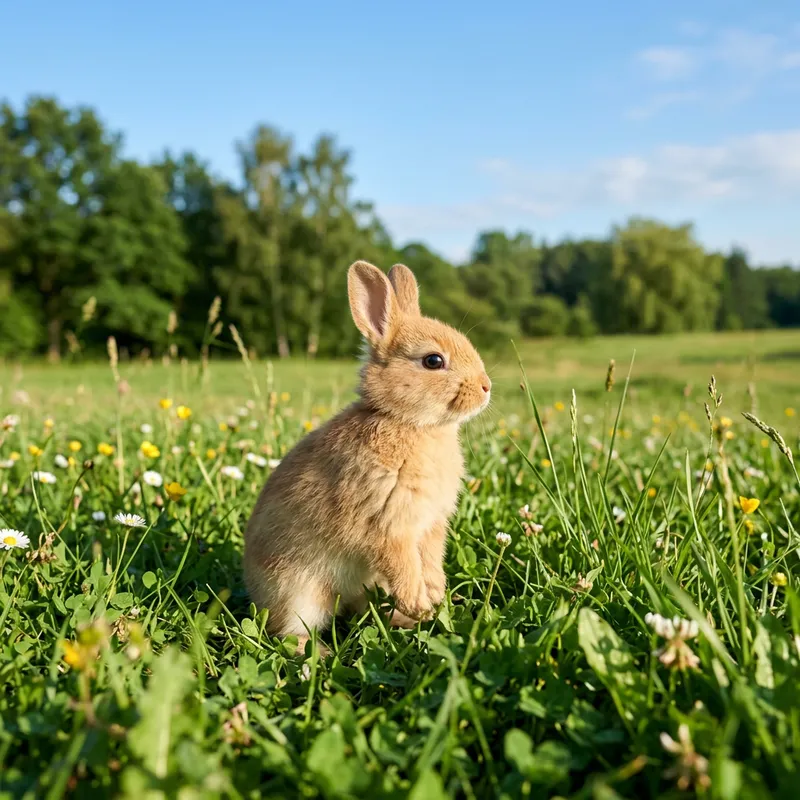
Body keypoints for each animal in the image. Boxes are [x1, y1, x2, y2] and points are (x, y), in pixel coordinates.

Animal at [243, 260, 492, 654]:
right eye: (433, 360)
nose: (486, 387)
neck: (407, 422)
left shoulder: (430, 525)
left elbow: (430, 559)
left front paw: (433, 596)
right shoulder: (387, 525)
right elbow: (402, 563)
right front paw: (420, 603)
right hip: (299, 591)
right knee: (288, 630)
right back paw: (318, 652)